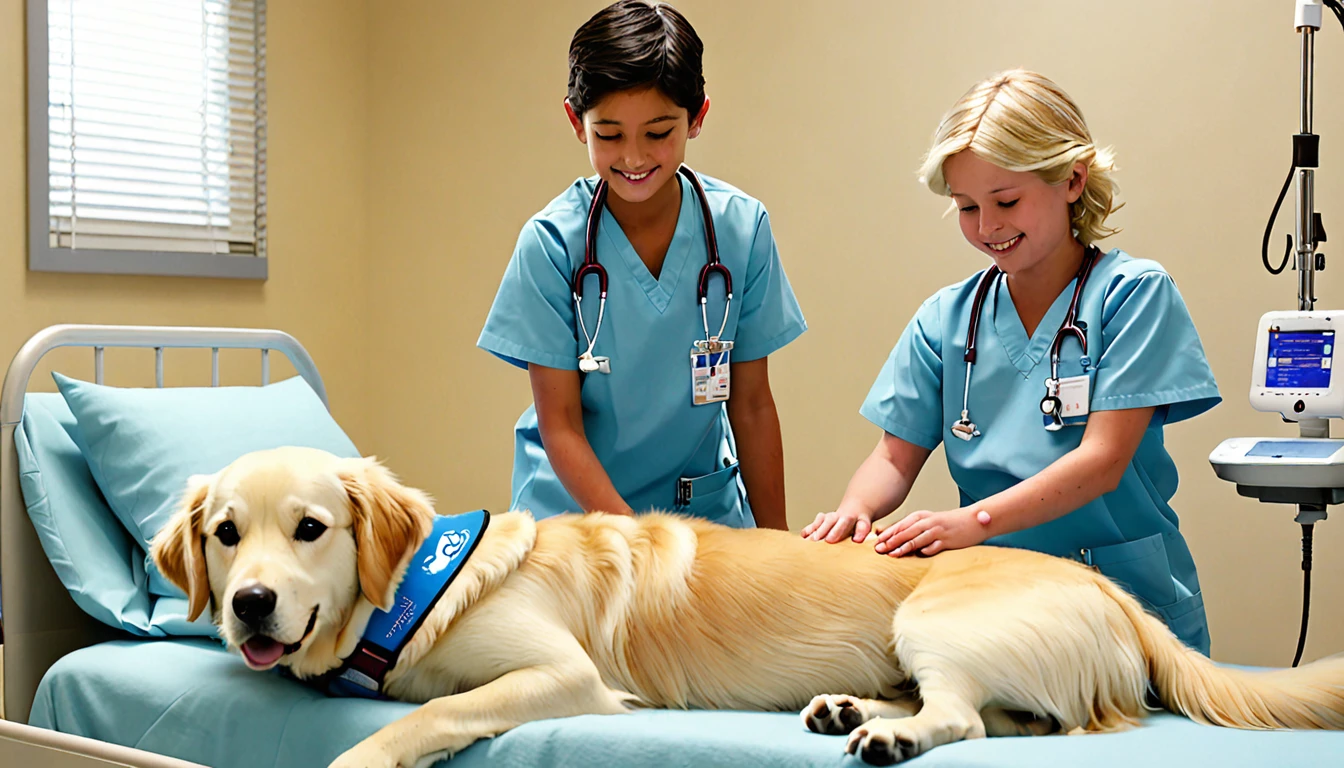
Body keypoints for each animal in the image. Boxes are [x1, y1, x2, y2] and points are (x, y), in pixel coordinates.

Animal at [152, 446, 1344, 763]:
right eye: (225, 535)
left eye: (311, 529)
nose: (249, 604)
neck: (412, 594)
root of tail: (1114, 588)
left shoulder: (563, 674)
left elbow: (434, 711)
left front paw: (367, 752)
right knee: (1016, 721)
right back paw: (851, 711)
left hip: (935, 618)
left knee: (964, 718)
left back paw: (885, 736)